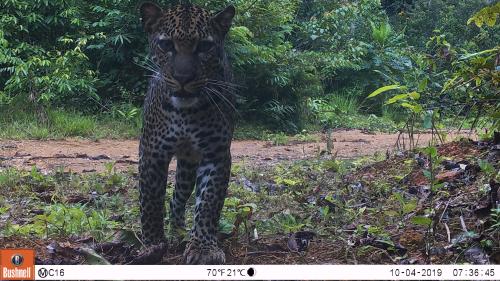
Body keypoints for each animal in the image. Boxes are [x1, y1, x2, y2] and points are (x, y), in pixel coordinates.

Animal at [138, 2, 237, 264]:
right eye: (166, 45)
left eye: (204, 46)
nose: (183, 78)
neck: (185, 113)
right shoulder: (152, 152)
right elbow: (150, 202)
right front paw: (152, 244)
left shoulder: (216, 154)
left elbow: (209, 203)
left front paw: (203, 248)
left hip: (188, 166)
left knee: (177, 199)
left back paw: (179, 233)